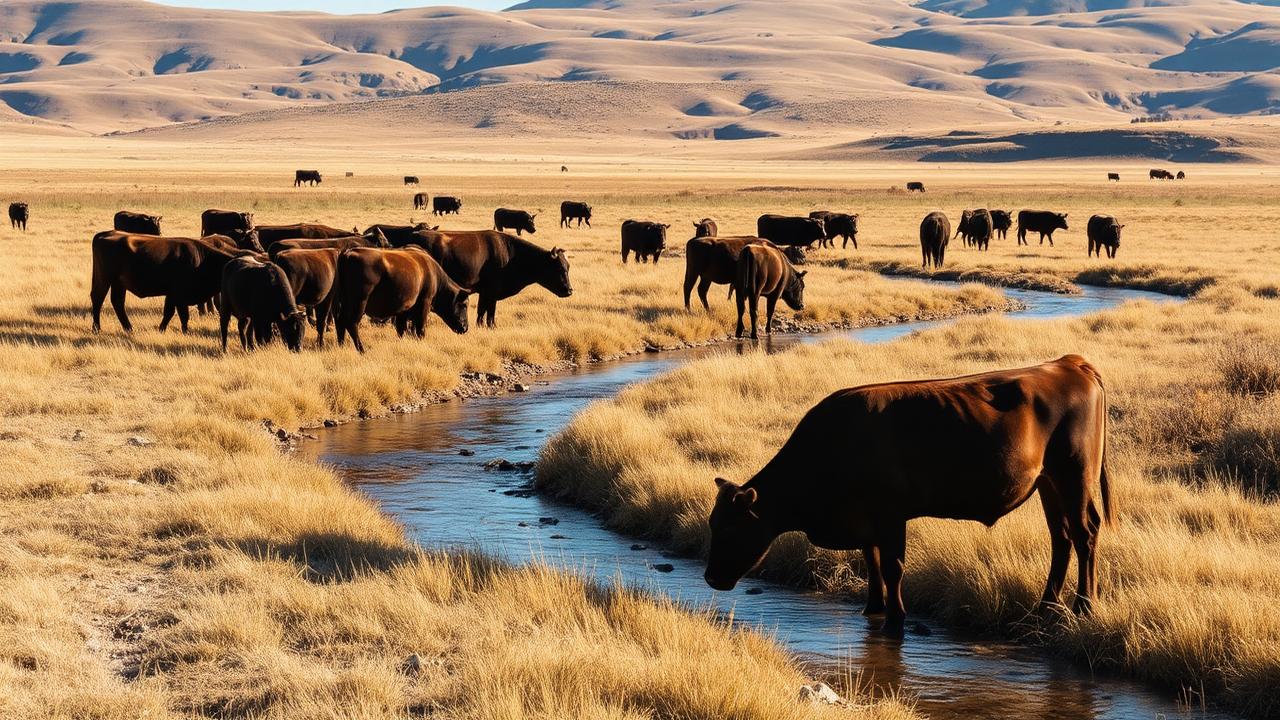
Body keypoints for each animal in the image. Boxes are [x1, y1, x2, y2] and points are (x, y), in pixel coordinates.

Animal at [90, 231, 246, 334]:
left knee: (117, 302)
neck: (203, 259)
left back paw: (129, 328)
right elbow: (182, 315)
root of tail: (104, 234)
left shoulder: (172, 295)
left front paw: (162, 329)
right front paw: (184, 331)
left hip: (118, 284)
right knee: (98, 299)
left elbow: (169, 313)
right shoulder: (179, 295)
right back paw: (97, 328)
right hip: (104, 279)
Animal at [335, 246, 471, 353]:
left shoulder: (403, 311)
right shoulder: (424, 303)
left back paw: (341, 346)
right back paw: (362, 350)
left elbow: (402, 329)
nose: (465, 328)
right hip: (359, 303)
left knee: (340, 322)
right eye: (464, 305)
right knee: (351, 324)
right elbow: (420, 329)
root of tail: (348, 252)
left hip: (345, 303)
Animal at [406, 230, 572, 327]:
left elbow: (481, 311)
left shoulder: (484, 292)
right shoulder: (492, 292)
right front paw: (492, 326)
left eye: (567, 267)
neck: (510, 253)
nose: (569, 290)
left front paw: (480, 326)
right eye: (559, 268)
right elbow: (490, 312)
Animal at [704, 355, 1112, 635]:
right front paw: (873, 607)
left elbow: (893, 566)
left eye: (730, 529)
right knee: (1061, 538)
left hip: (1074, 476)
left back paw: (1084, 607)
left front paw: (895, 620)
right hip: (1048, 483)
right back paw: (1047, 607)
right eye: (712, 524)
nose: (709, 577)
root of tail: (1067, 364)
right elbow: (870, 560)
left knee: (1084, 534)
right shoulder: (865, 521)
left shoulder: (890, 515)